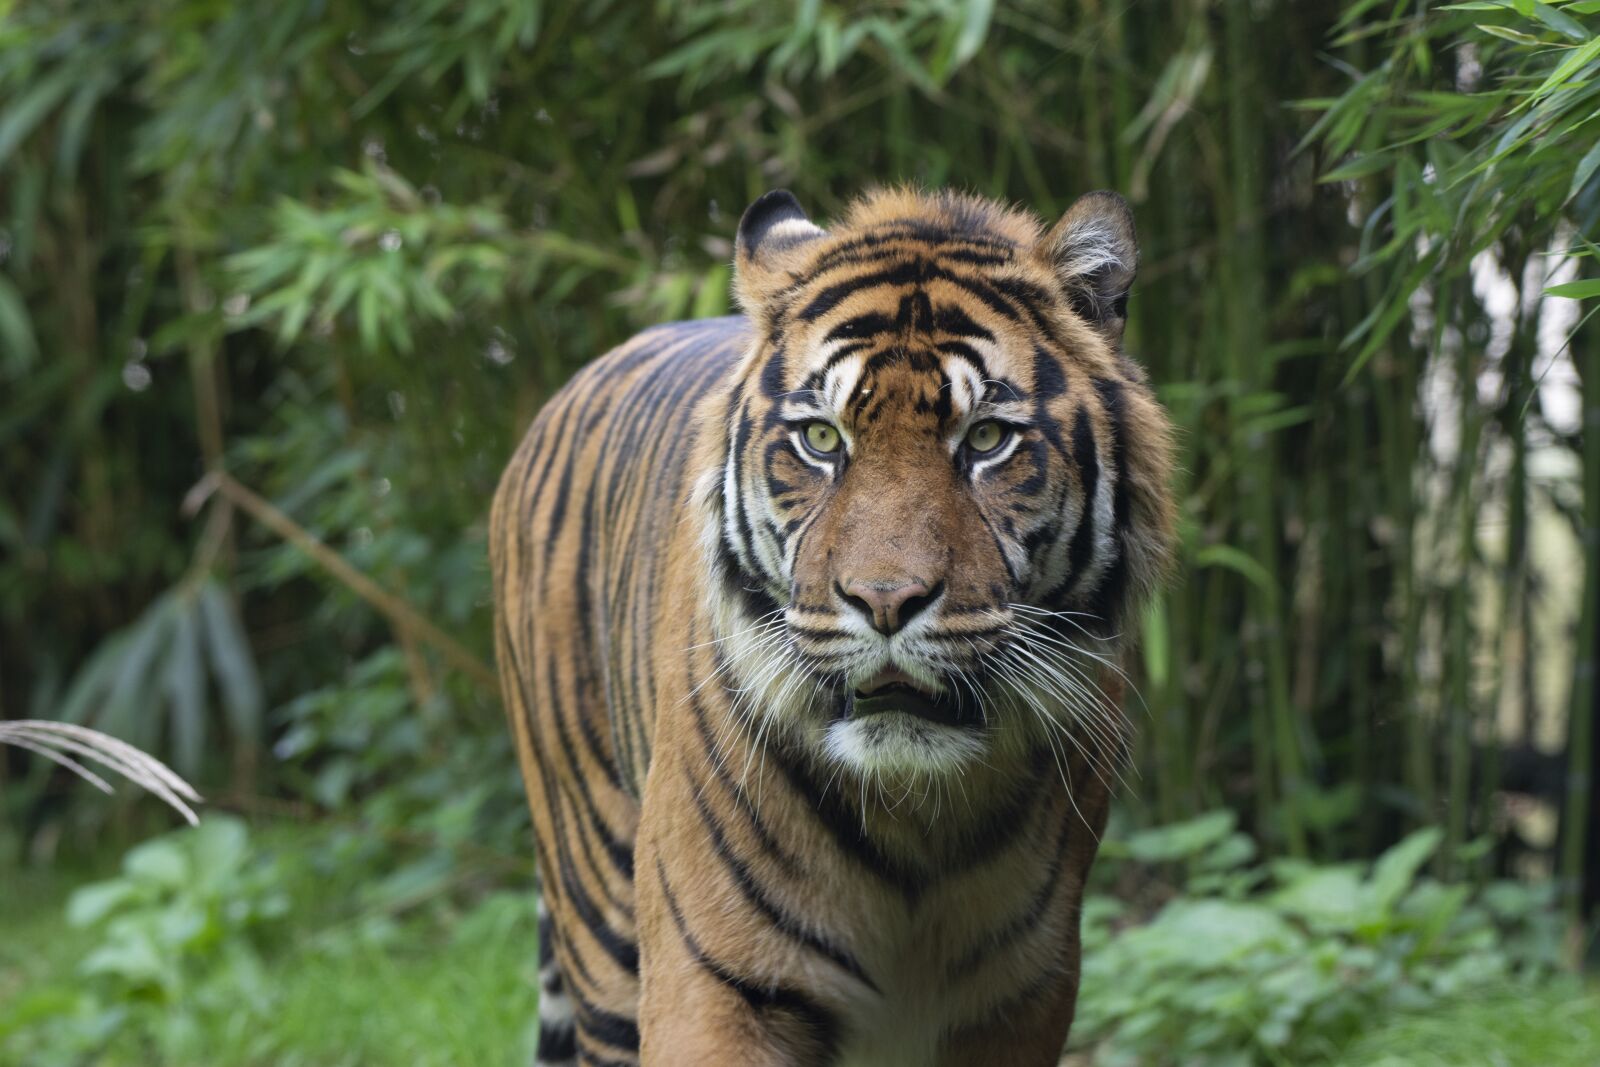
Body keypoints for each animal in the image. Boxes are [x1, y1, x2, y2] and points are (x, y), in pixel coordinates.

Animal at [489, 186, 1176, 1067]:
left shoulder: (1022, 993)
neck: (917, 820)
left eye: (987, 438)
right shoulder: (715, 981)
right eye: (821, 438)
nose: (885, 600)